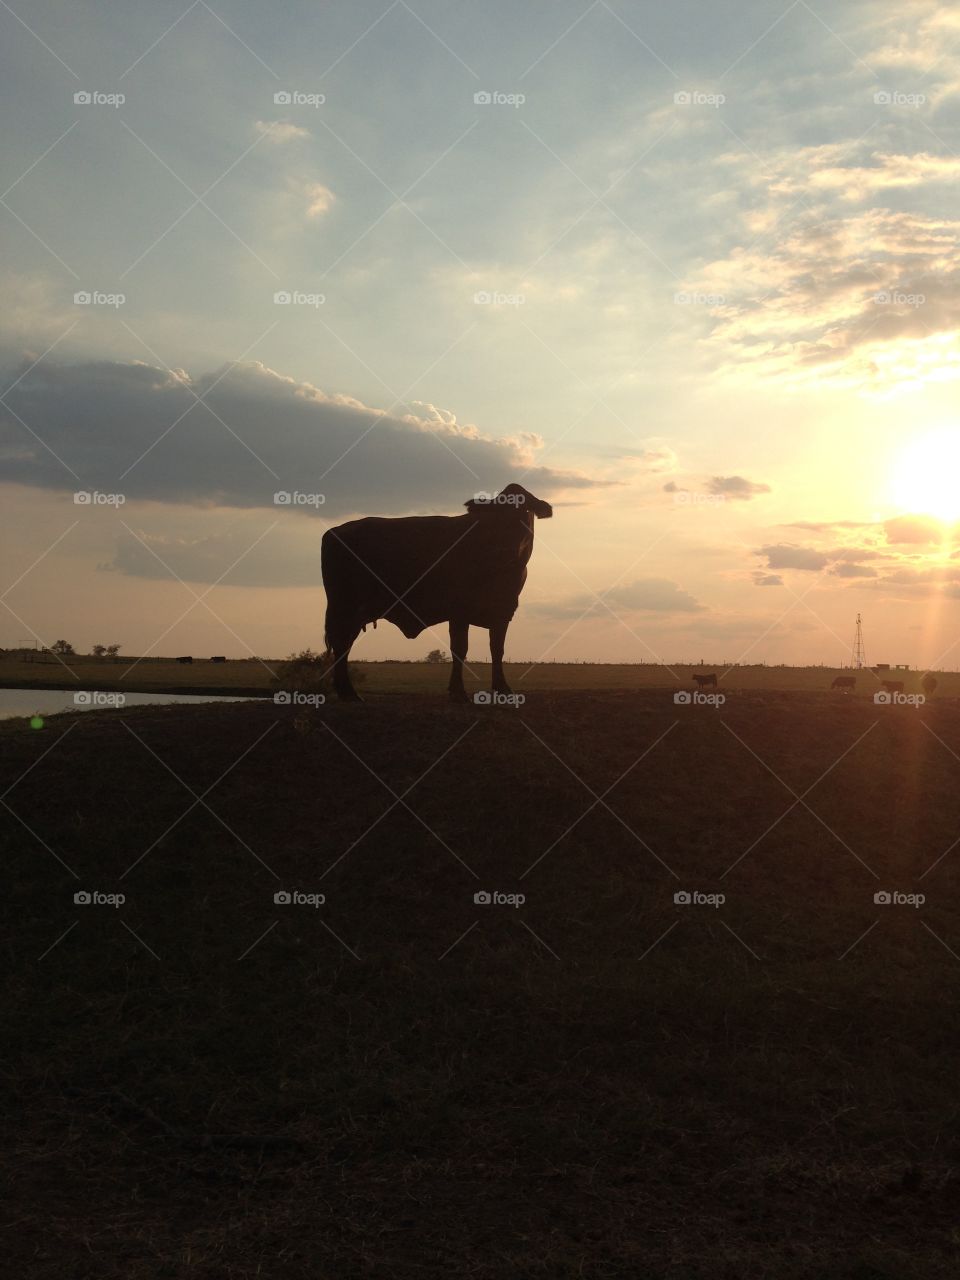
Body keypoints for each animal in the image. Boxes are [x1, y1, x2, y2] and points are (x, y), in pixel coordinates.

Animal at [321, 483, 553, 702]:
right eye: (497, 512)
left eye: (525, 510)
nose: (506, 548)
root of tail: (336, 531)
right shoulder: (459, 610)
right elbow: (460, 649)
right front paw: (458, 692)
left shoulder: (503, 611)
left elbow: (497, 649)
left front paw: (502, 688)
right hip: (346, 606)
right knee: (342, 644)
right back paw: (349, 693)